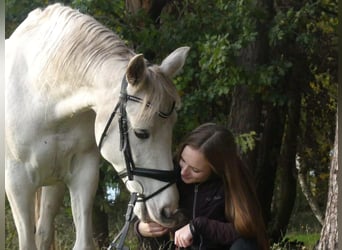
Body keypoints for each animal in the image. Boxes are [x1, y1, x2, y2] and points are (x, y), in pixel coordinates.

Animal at [4, 2, 190, 249]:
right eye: (141, 133)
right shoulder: (17, 185)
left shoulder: (83, 174)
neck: (42, 97)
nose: (168, 211)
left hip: (52, 184)